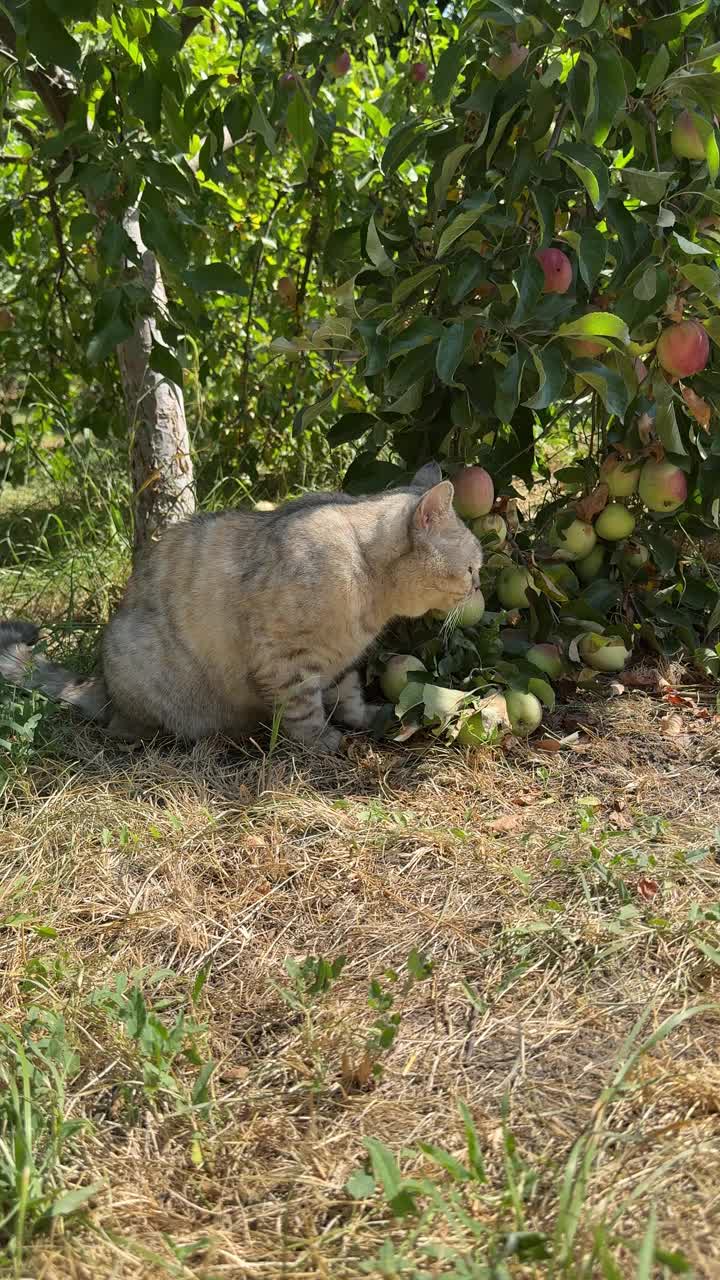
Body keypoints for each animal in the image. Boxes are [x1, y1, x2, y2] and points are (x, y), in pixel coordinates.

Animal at [1, 465, 481, 752]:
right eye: (473, 566)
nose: (479, 584)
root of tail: (102, 683)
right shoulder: (283, 657)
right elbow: (303, 707)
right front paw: (320, 741)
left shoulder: (343, 661)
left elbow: (348, 695)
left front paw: (363, 717)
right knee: (127, 727)